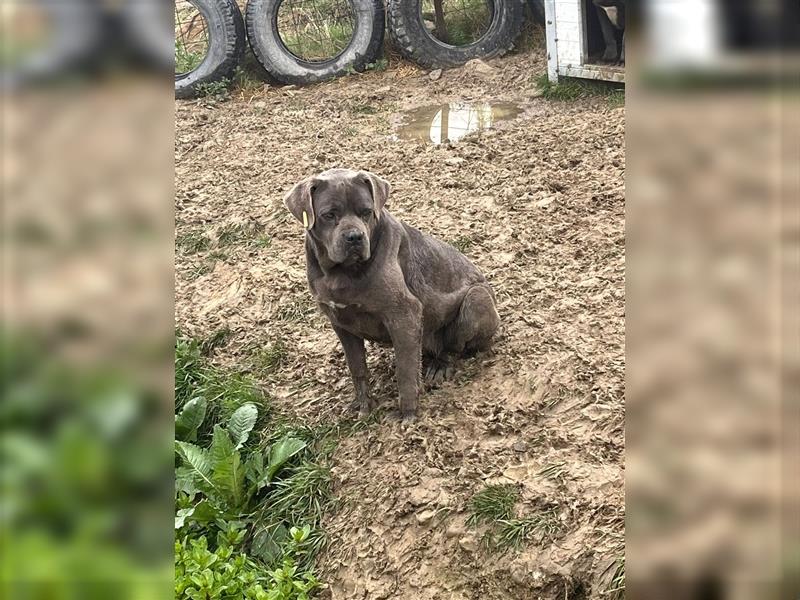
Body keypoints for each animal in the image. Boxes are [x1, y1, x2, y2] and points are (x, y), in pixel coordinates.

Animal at [282, 168, 500, 422]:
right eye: (329, 215)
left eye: (366, 212)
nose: (354, 237)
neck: (341, 273)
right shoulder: (341, 324)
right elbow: (357, 367)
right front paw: (363, 404)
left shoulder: (404, 315)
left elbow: (405, 371)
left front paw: (408, 414)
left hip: (476, 299)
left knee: (455, 347)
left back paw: (440, 366)